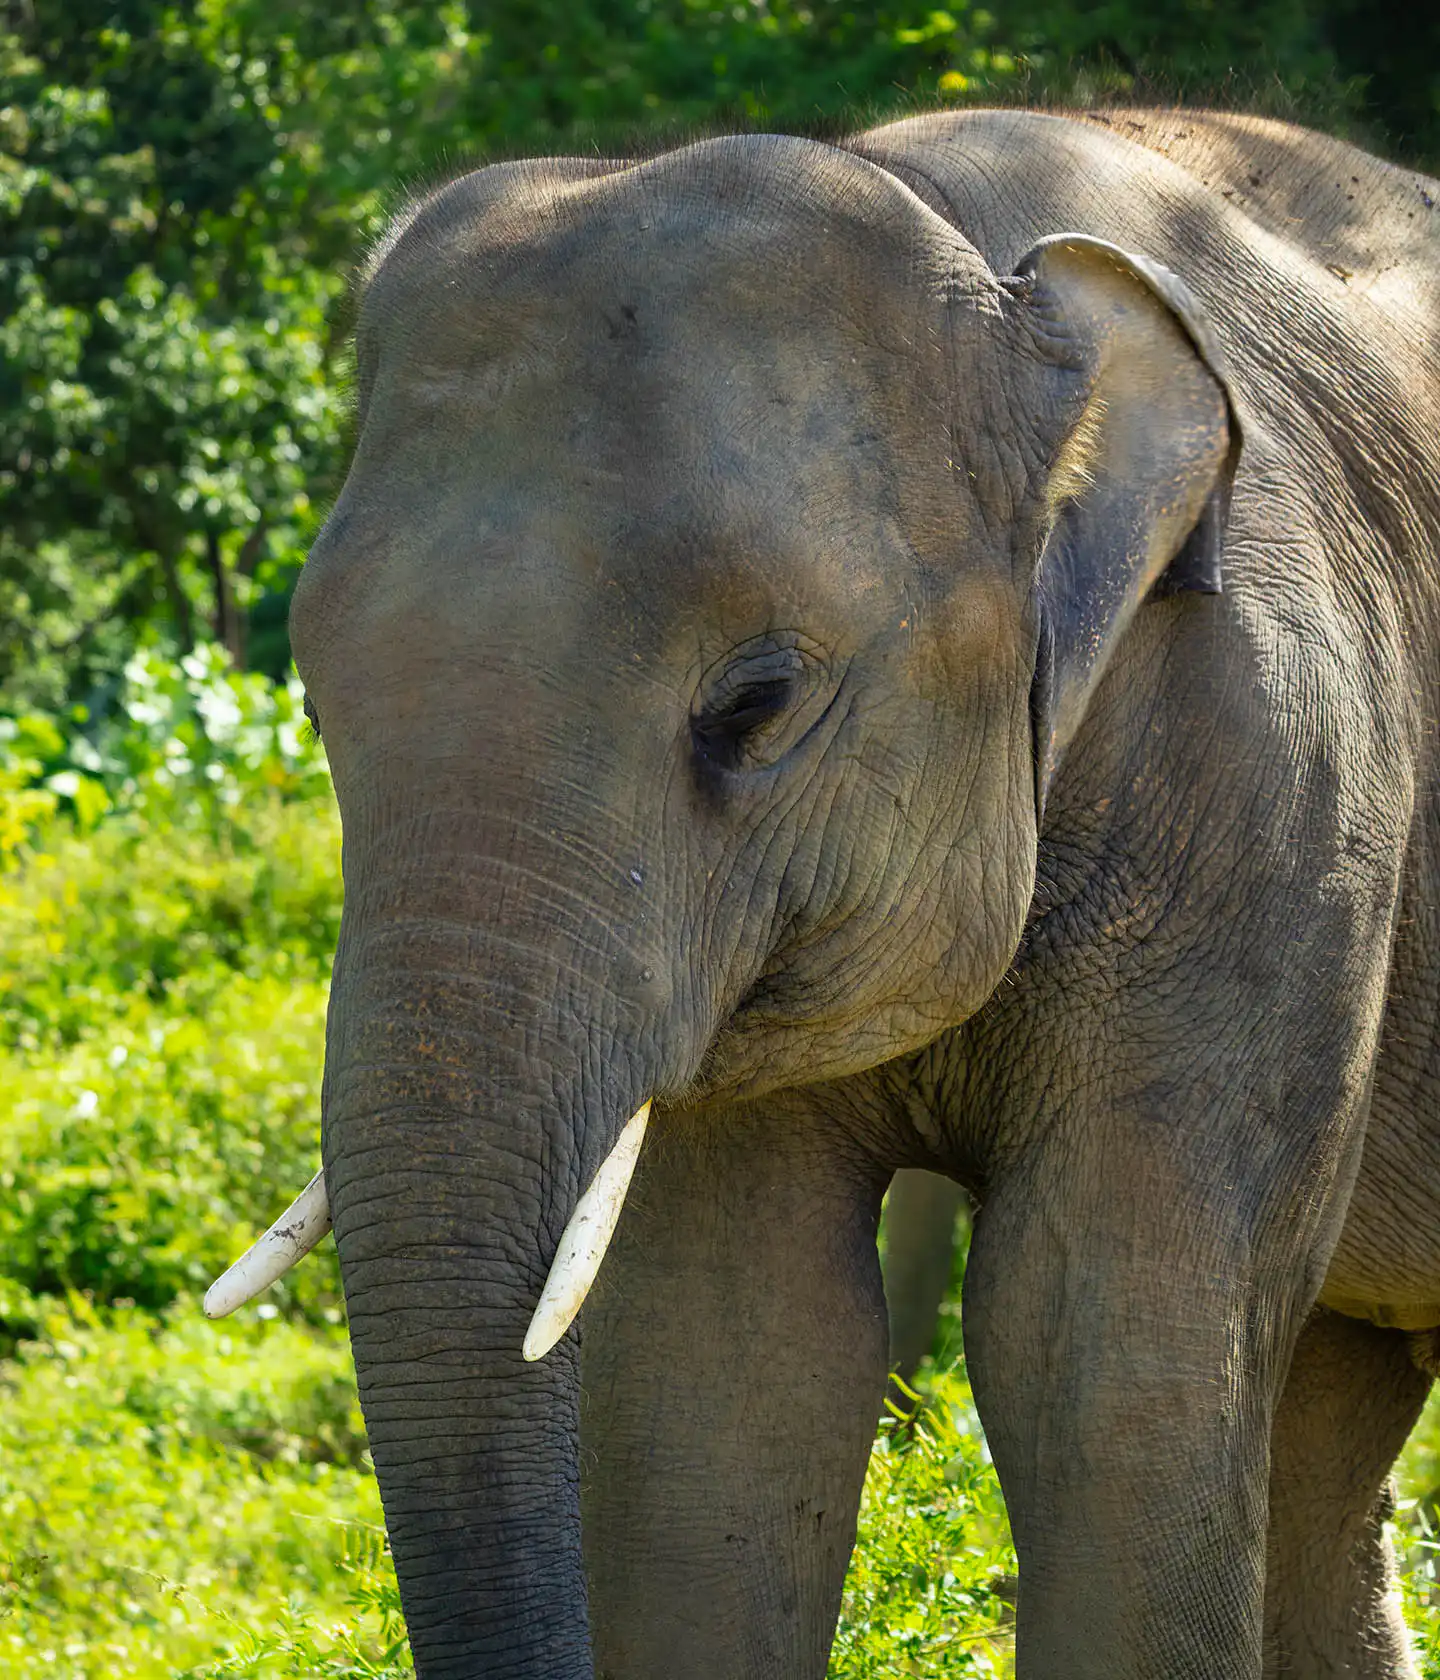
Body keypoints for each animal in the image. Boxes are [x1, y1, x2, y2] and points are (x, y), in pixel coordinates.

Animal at [207, 106, 1440, 1678]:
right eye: (311, 702)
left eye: (755, 703)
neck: (982, 250)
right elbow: (732, 1358)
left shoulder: (1282, 774)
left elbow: (1099, 1350)